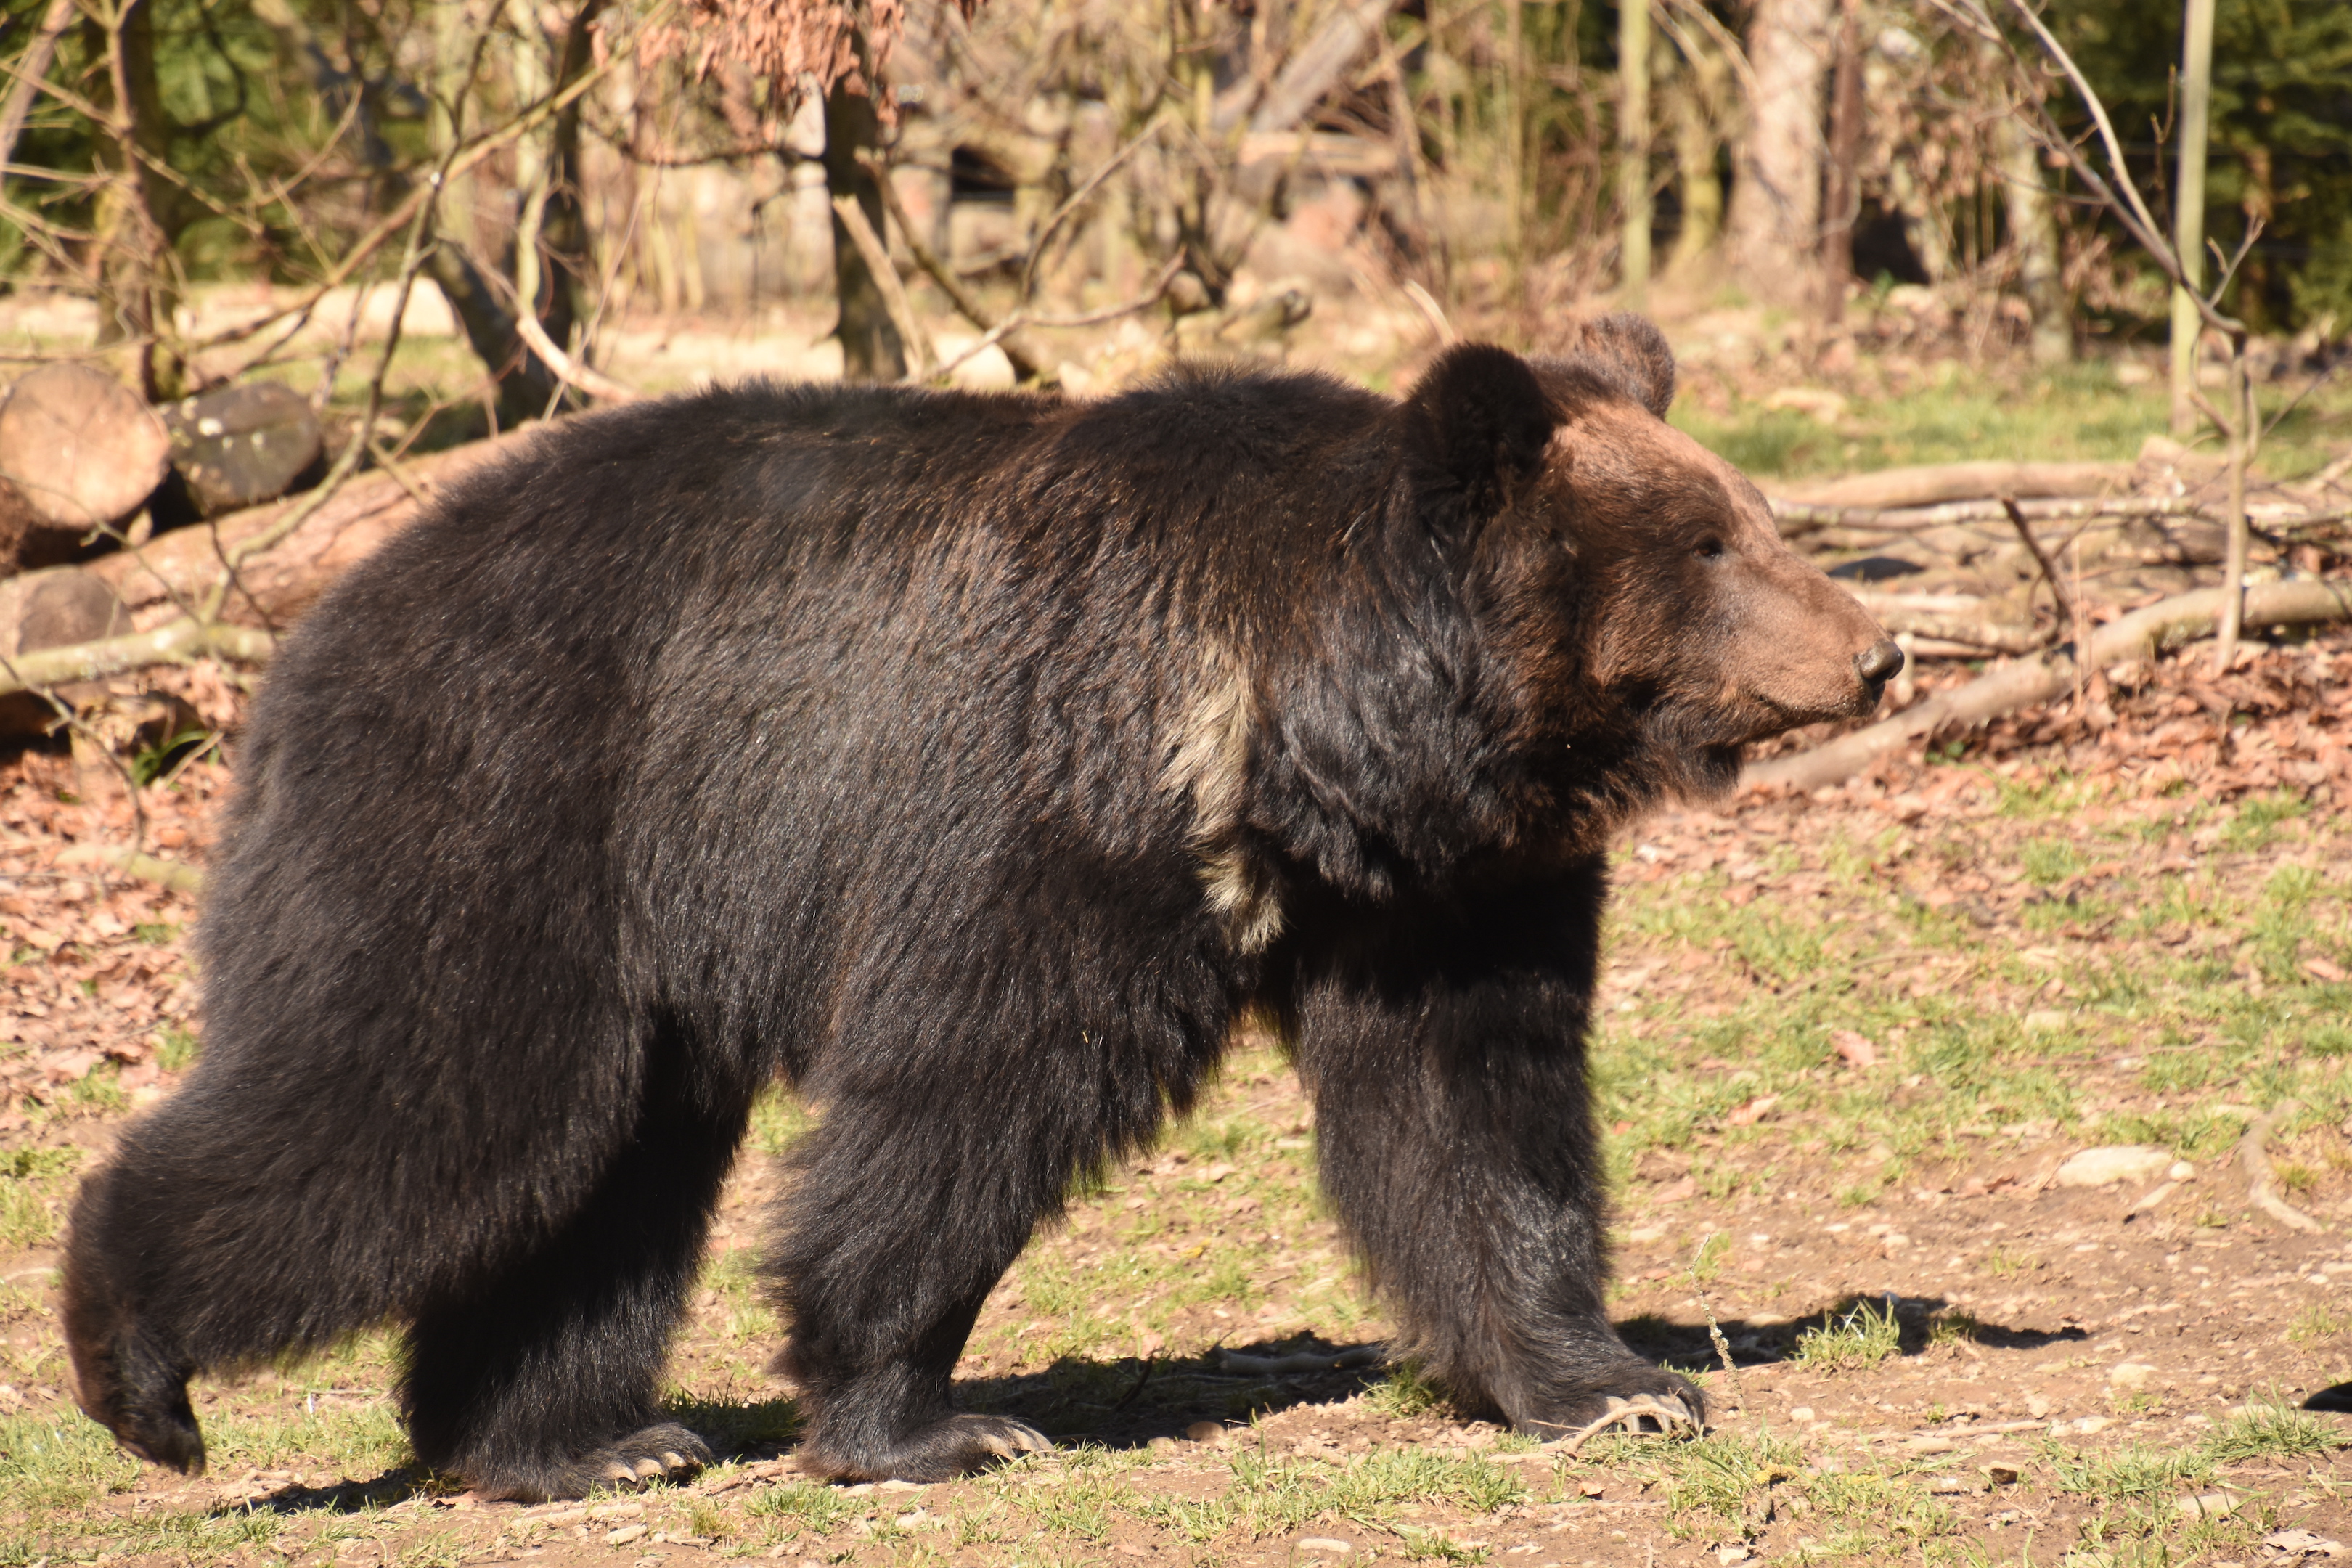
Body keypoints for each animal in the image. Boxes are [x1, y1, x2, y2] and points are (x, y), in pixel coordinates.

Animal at [59, 316, 1900, 1500]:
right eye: (1710, 543)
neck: (1304, 734)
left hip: (632, 931)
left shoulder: (1441, 889)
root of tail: (314, 620)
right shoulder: (1054, 795)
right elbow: (972, 1080)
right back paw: (144, 1376)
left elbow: (1473, 1106)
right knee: (437, 1098)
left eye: (1749, 517)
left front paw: (1612, 1384)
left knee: (603, 1167)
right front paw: (925, 1418)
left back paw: (576, 1441)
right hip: (511, 807)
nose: (1880, 649)